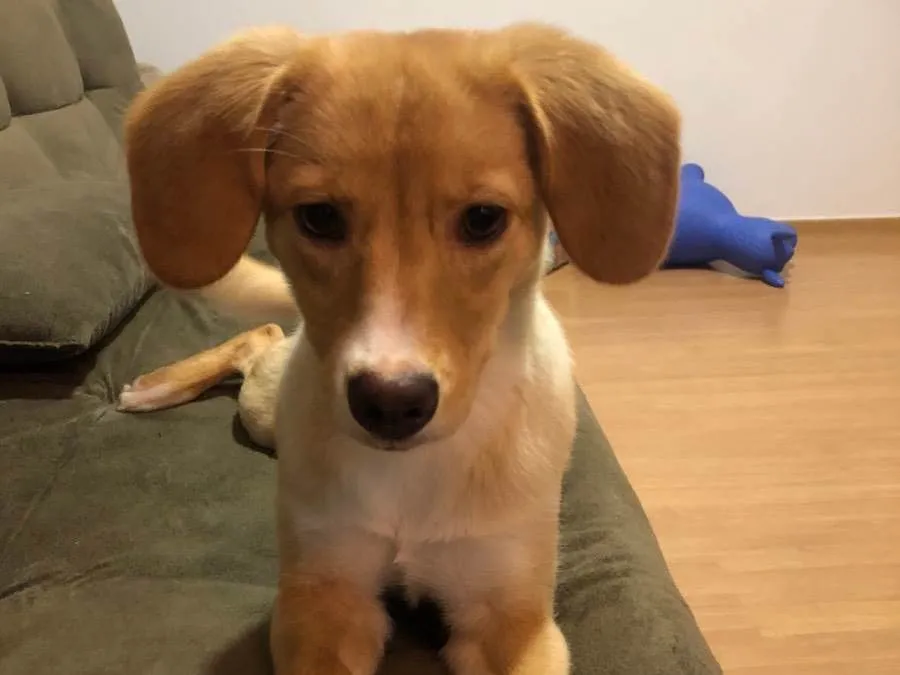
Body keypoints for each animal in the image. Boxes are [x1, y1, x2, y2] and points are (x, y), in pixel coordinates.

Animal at [118, 22, 680, 675]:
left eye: (484, 219)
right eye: (319, 217)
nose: (390, 403)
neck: (413, 473)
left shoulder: (514, 619)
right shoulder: (322, 598)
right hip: (267, 414)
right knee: (260, 338)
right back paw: (154, 387)